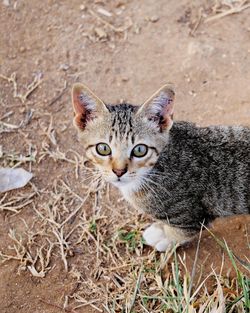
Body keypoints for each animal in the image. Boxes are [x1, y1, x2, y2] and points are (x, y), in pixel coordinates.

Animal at [71, 83, 249, 251]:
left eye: (140, 150)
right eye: (103, 148)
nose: (119, 171)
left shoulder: (192, 215)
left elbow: (183, 230)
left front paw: (165, 237)